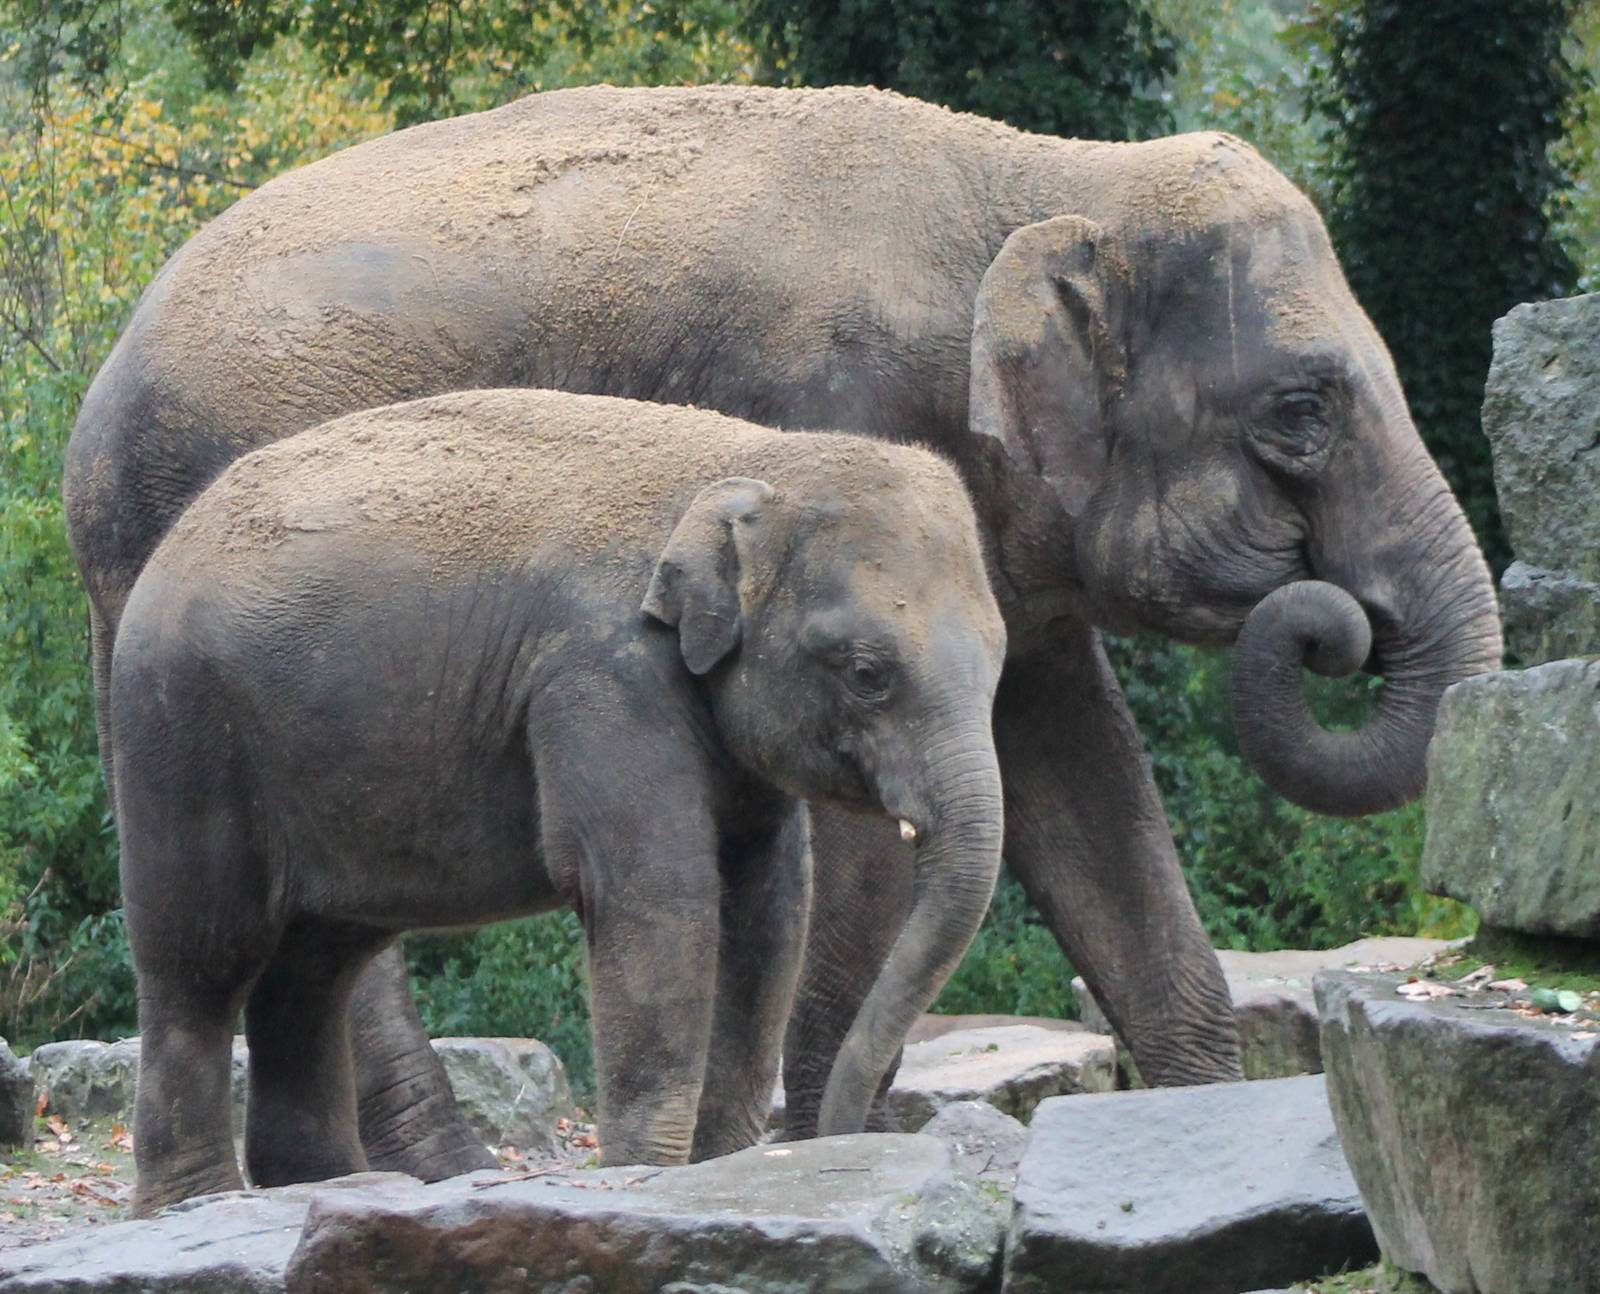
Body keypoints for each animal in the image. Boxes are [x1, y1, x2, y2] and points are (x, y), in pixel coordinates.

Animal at [110, 388, 1007, 1214]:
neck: (749, 461)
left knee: (316, 966)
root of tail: (168, 545)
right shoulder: (601, 676)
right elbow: (658, 898)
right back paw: (197, 1202)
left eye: (999, 662)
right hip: (183, 735)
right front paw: (645, 1173)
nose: (848, 1139)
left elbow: (770, 906)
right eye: (866, 673)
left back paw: (327, 1183)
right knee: (204, 959)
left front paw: (717, 1167)